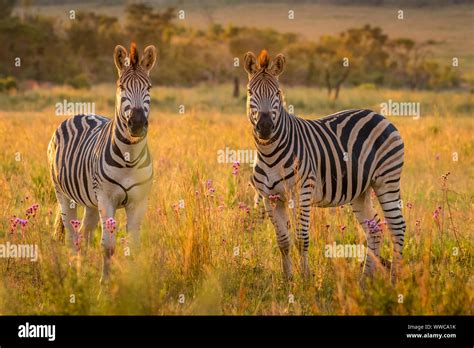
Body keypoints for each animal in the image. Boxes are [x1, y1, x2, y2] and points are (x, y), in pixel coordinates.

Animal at [49, 43, 158, 282]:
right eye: (121, 86)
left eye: (149, 87)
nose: (137, 124)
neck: (129, 159)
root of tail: (80, 113)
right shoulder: (106, 199)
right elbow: (108, 246)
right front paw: (104, 285)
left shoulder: (138, 201)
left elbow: (134, 247)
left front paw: (134, 284)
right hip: (63, 194)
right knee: (71, 236)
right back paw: (73, 278)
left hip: (91, 201)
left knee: (83, 235)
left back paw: (81, 274)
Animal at [243, 50, 406, 282]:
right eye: (250, 92)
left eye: (277, 93)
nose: (265, 127)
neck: (269, 153)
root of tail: (379, 115)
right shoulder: (269, 197)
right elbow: (283, 241)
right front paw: (287, 280)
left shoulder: (302, 192)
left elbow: (301, 238)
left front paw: (305, 280)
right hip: (361, 191)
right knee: (374, 230)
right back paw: (364, 281)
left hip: (387, 181)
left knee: (397, 228)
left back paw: (394, 281)